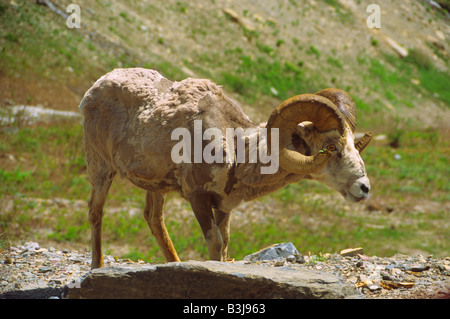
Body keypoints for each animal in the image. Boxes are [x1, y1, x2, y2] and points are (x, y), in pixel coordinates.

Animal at [80, 68, 372, 270]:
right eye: (331, 146)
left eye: (353, 144)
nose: (364, 188)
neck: (236, 149)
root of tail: (95, 87)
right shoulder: (198, 198)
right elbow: (215, 242)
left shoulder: (223, 206)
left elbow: (225, 245)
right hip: (101, 168)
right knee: (96, 212)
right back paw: (97, 266)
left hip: (155, 186)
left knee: (154, 219)